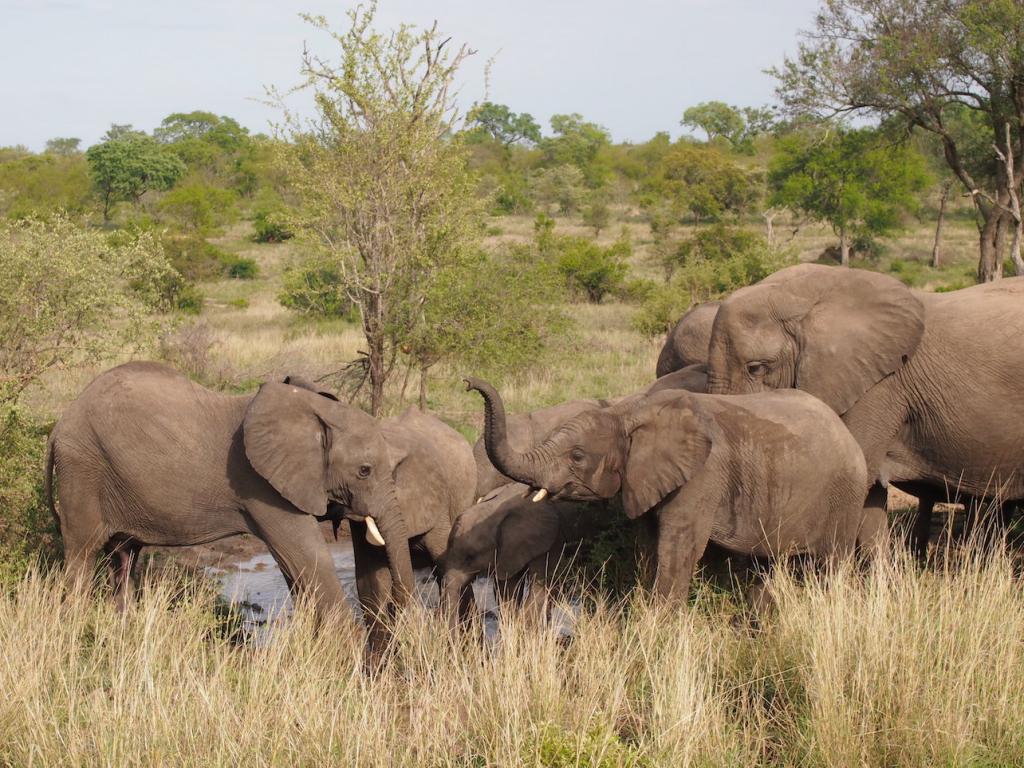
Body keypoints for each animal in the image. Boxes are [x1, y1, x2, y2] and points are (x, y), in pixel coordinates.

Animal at [468, 378, 884, 606]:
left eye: (577, 455)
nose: (469, 383)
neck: (629, 413)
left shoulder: (702, 479)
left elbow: (678, 549)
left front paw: (656, 629)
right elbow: (649, 546)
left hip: (844, 495)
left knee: (831, 563)